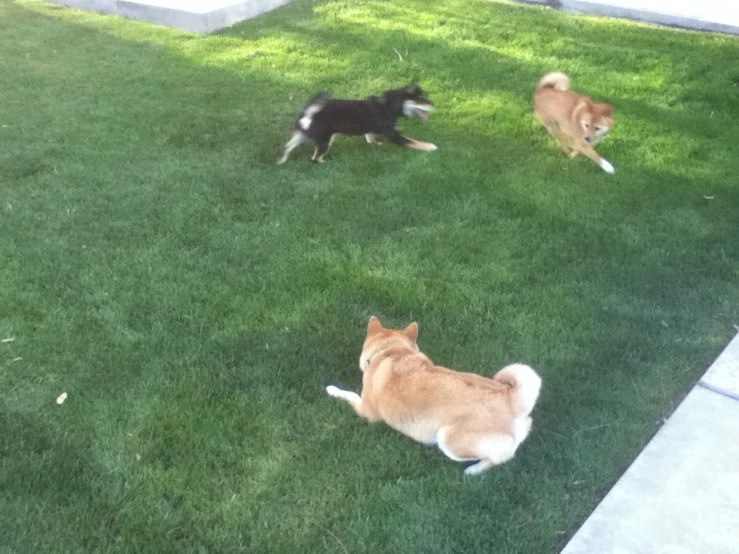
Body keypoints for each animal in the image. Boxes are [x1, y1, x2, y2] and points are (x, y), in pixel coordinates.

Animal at [280, 83, 436, 163]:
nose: (434, 105)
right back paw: (324, 162)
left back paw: (282, 160)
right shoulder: (393, 135)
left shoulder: (372, 130)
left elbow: (370, 138)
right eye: (420, 100)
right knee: (315, 158)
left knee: (289, 146)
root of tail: (309, 113)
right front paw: (430, 147)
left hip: (301, 135)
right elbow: (414, 142)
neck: (389, 106)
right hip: (325, 141)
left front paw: (376, 144)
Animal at [326, 316, 544, 472]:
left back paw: (473, 471)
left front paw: (333, 390)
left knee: (499, 459)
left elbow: (349, 395)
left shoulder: (366, 411)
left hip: (449, 439)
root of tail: (510, 400)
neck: (394, 351)